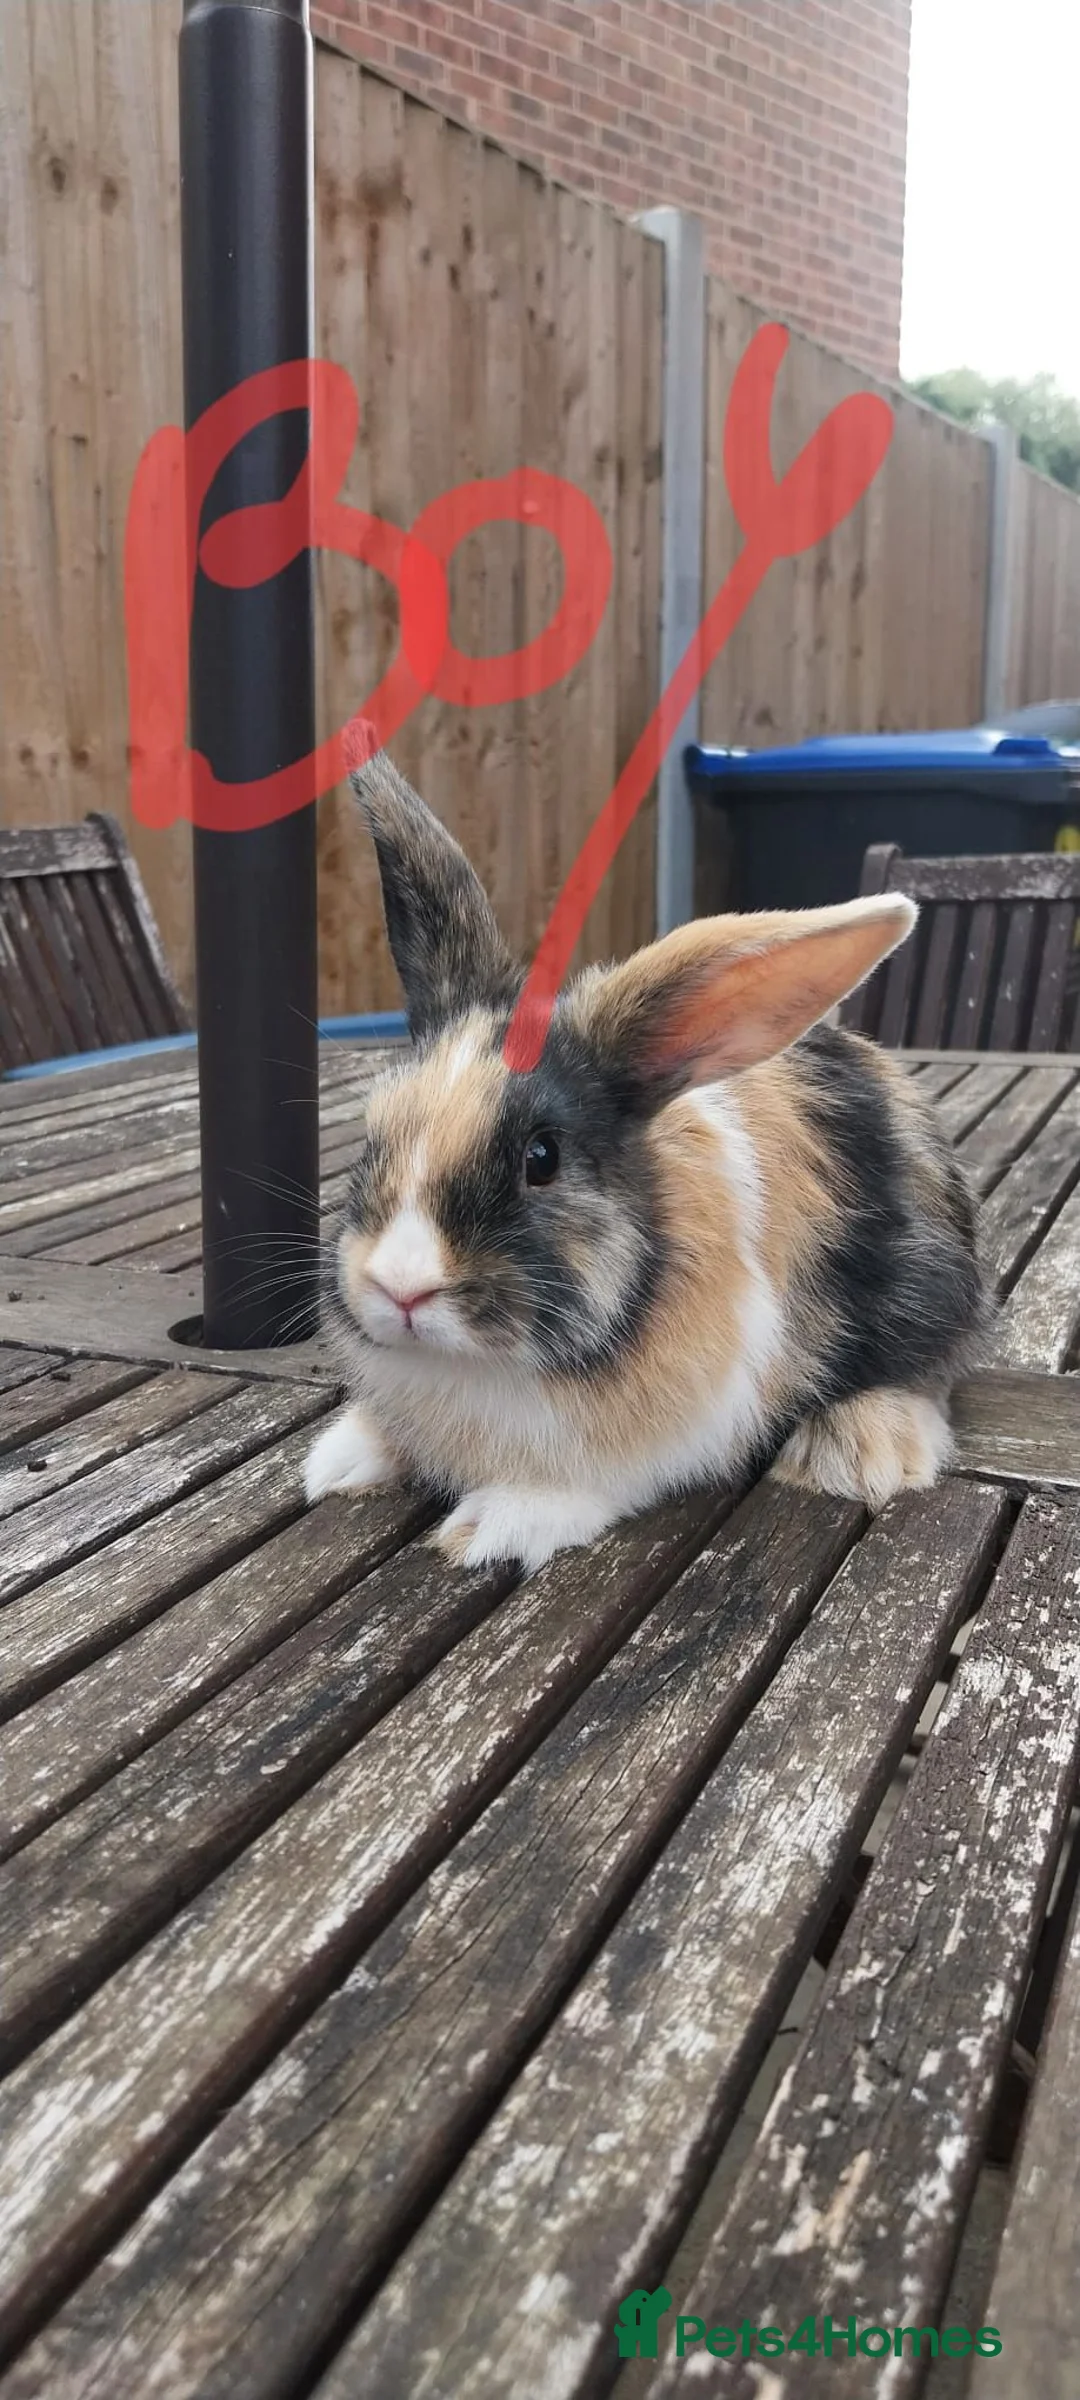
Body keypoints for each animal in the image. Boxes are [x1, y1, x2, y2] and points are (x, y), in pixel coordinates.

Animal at [304, 752, 987, 1570]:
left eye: (542, 1157)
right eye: (372, 1134)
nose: (400, 1287)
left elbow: (593, 1483)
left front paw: (496, 1525)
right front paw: (340, 1459)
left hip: (927, 1284)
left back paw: (855, 1452)